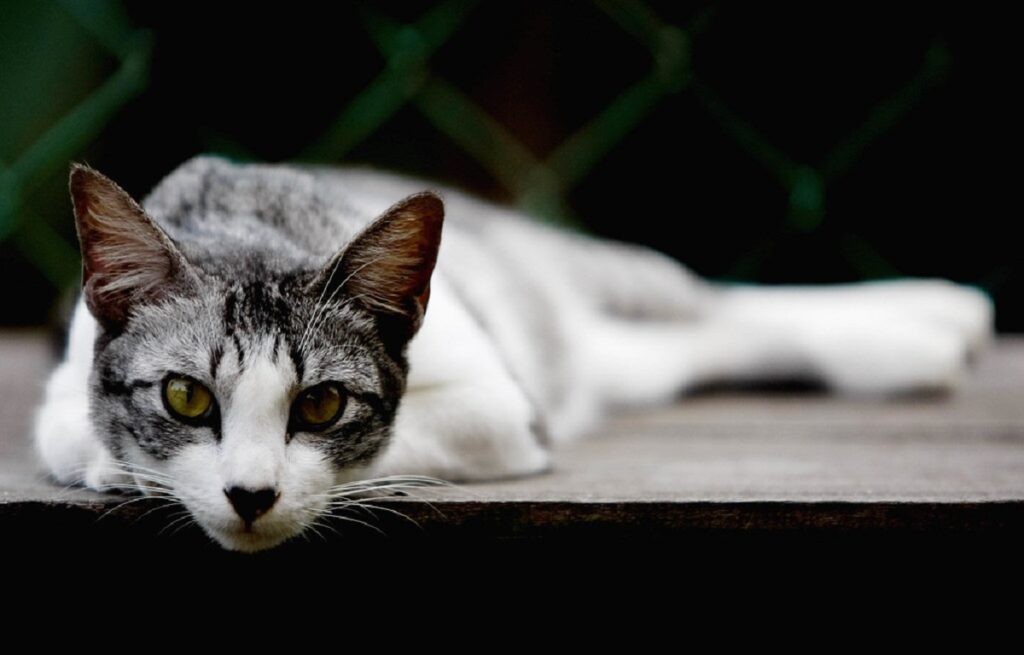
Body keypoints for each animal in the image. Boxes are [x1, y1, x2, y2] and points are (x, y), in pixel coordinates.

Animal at [32, 154, 991, 552]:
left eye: (322, 404)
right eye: (188, 398)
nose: (250, 494)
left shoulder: (503, 406)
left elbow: (400, 441)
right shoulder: (56, 399)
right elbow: (78, 434)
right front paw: (129, 468)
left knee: (712, 303)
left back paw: (935, 317)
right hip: (621, 359)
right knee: (704, 338)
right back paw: (923, 333)